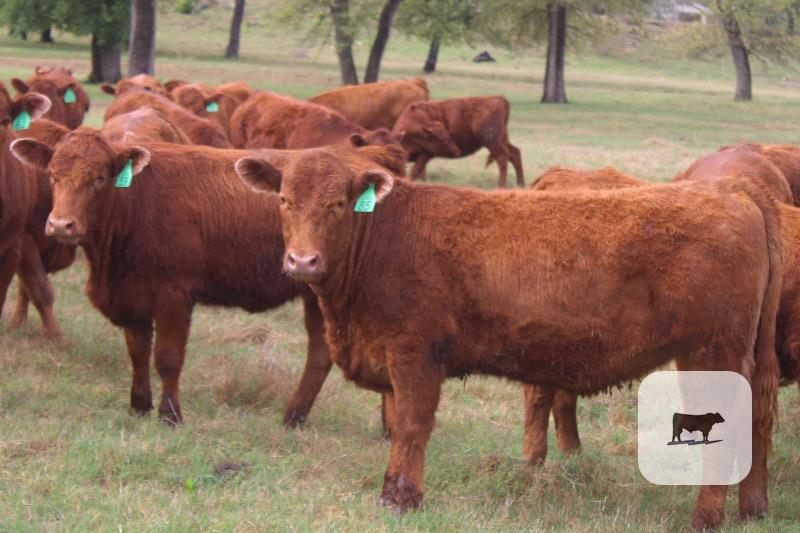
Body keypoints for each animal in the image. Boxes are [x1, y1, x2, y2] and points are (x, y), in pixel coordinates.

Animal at [9, 130, 349, 427]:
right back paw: (294, 418)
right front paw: (139, 407)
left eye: (99, 179)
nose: (60, 225)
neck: (135, 202)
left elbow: (168, 357)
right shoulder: (133, 296)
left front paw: (170, 415)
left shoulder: (173, 295)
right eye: (53, 175)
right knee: (320, 355)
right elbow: (138, 353)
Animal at [234, 145, 780, 530]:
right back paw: (752, 507)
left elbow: (411, 425)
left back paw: (704, 518)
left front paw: (401, 499)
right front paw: (394, 491)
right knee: (757, 421)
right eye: (284, 199)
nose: (302, 261)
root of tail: (732, 191)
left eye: (339, 204)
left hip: (711, 352)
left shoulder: (415, 353)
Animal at [392, 96, 524, 187]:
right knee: (515, 153)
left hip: (492, 142)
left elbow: (415, 171)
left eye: (446, 137)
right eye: (443, 137)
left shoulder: (426, 154)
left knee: (502, 157)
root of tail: (498, 99)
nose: (456, 151)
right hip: (502, 139)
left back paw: (501, 185)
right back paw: (521, 185)